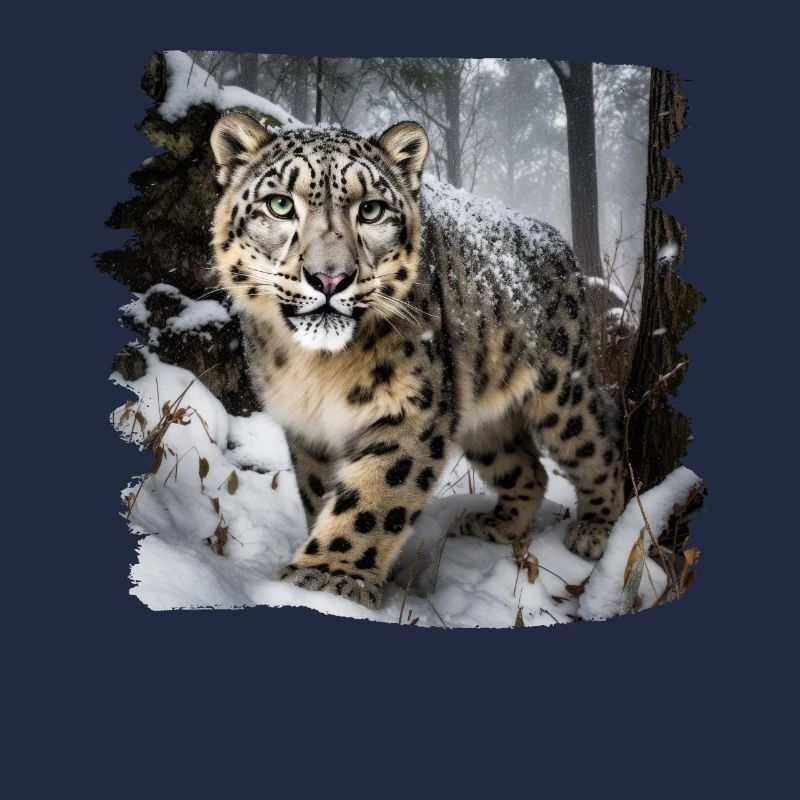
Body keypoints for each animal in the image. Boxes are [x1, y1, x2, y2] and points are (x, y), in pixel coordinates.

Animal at [209, 111, 624, 609]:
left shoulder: (414, 406)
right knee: (530, 469)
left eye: (371, 210)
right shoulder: (307, 427)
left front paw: (328, 579)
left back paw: (594, 531)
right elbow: (320, 493)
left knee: (598, 445)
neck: (318, 371)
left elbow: (374, 497)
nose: (330, 278)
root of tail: (561, 245)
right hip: (480, 415)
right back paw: (495, 525)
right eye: (279, 204)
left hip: (561, 387)